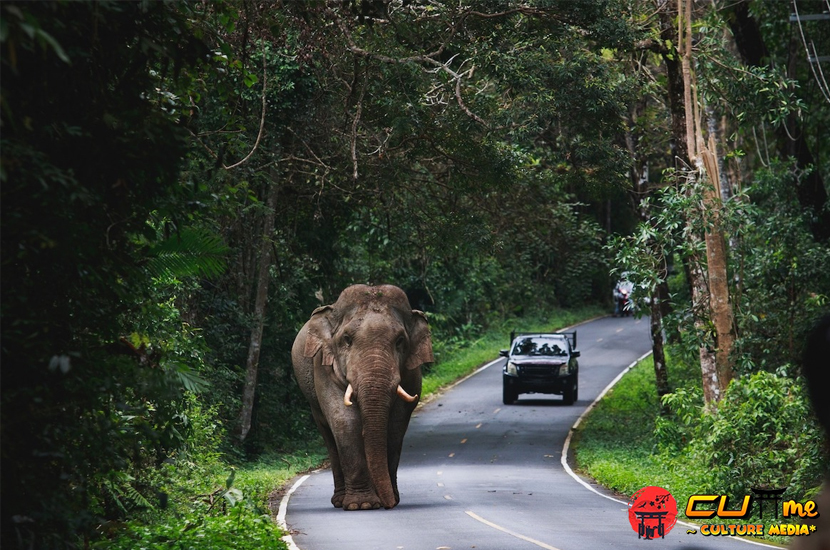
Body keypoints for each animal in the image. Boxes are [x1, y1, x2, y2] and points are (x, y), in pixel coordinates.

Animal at [292, 286, 436, 512]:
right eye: (347, 339)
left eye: (400, 341)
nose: (389, 504)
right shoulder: (323, 367)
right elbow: (345, 421)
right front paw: (362, 505)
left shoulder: (412, 373)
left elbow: (396, 424)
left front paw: (385, 499)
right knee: (329, 437)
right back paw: (339, 501)